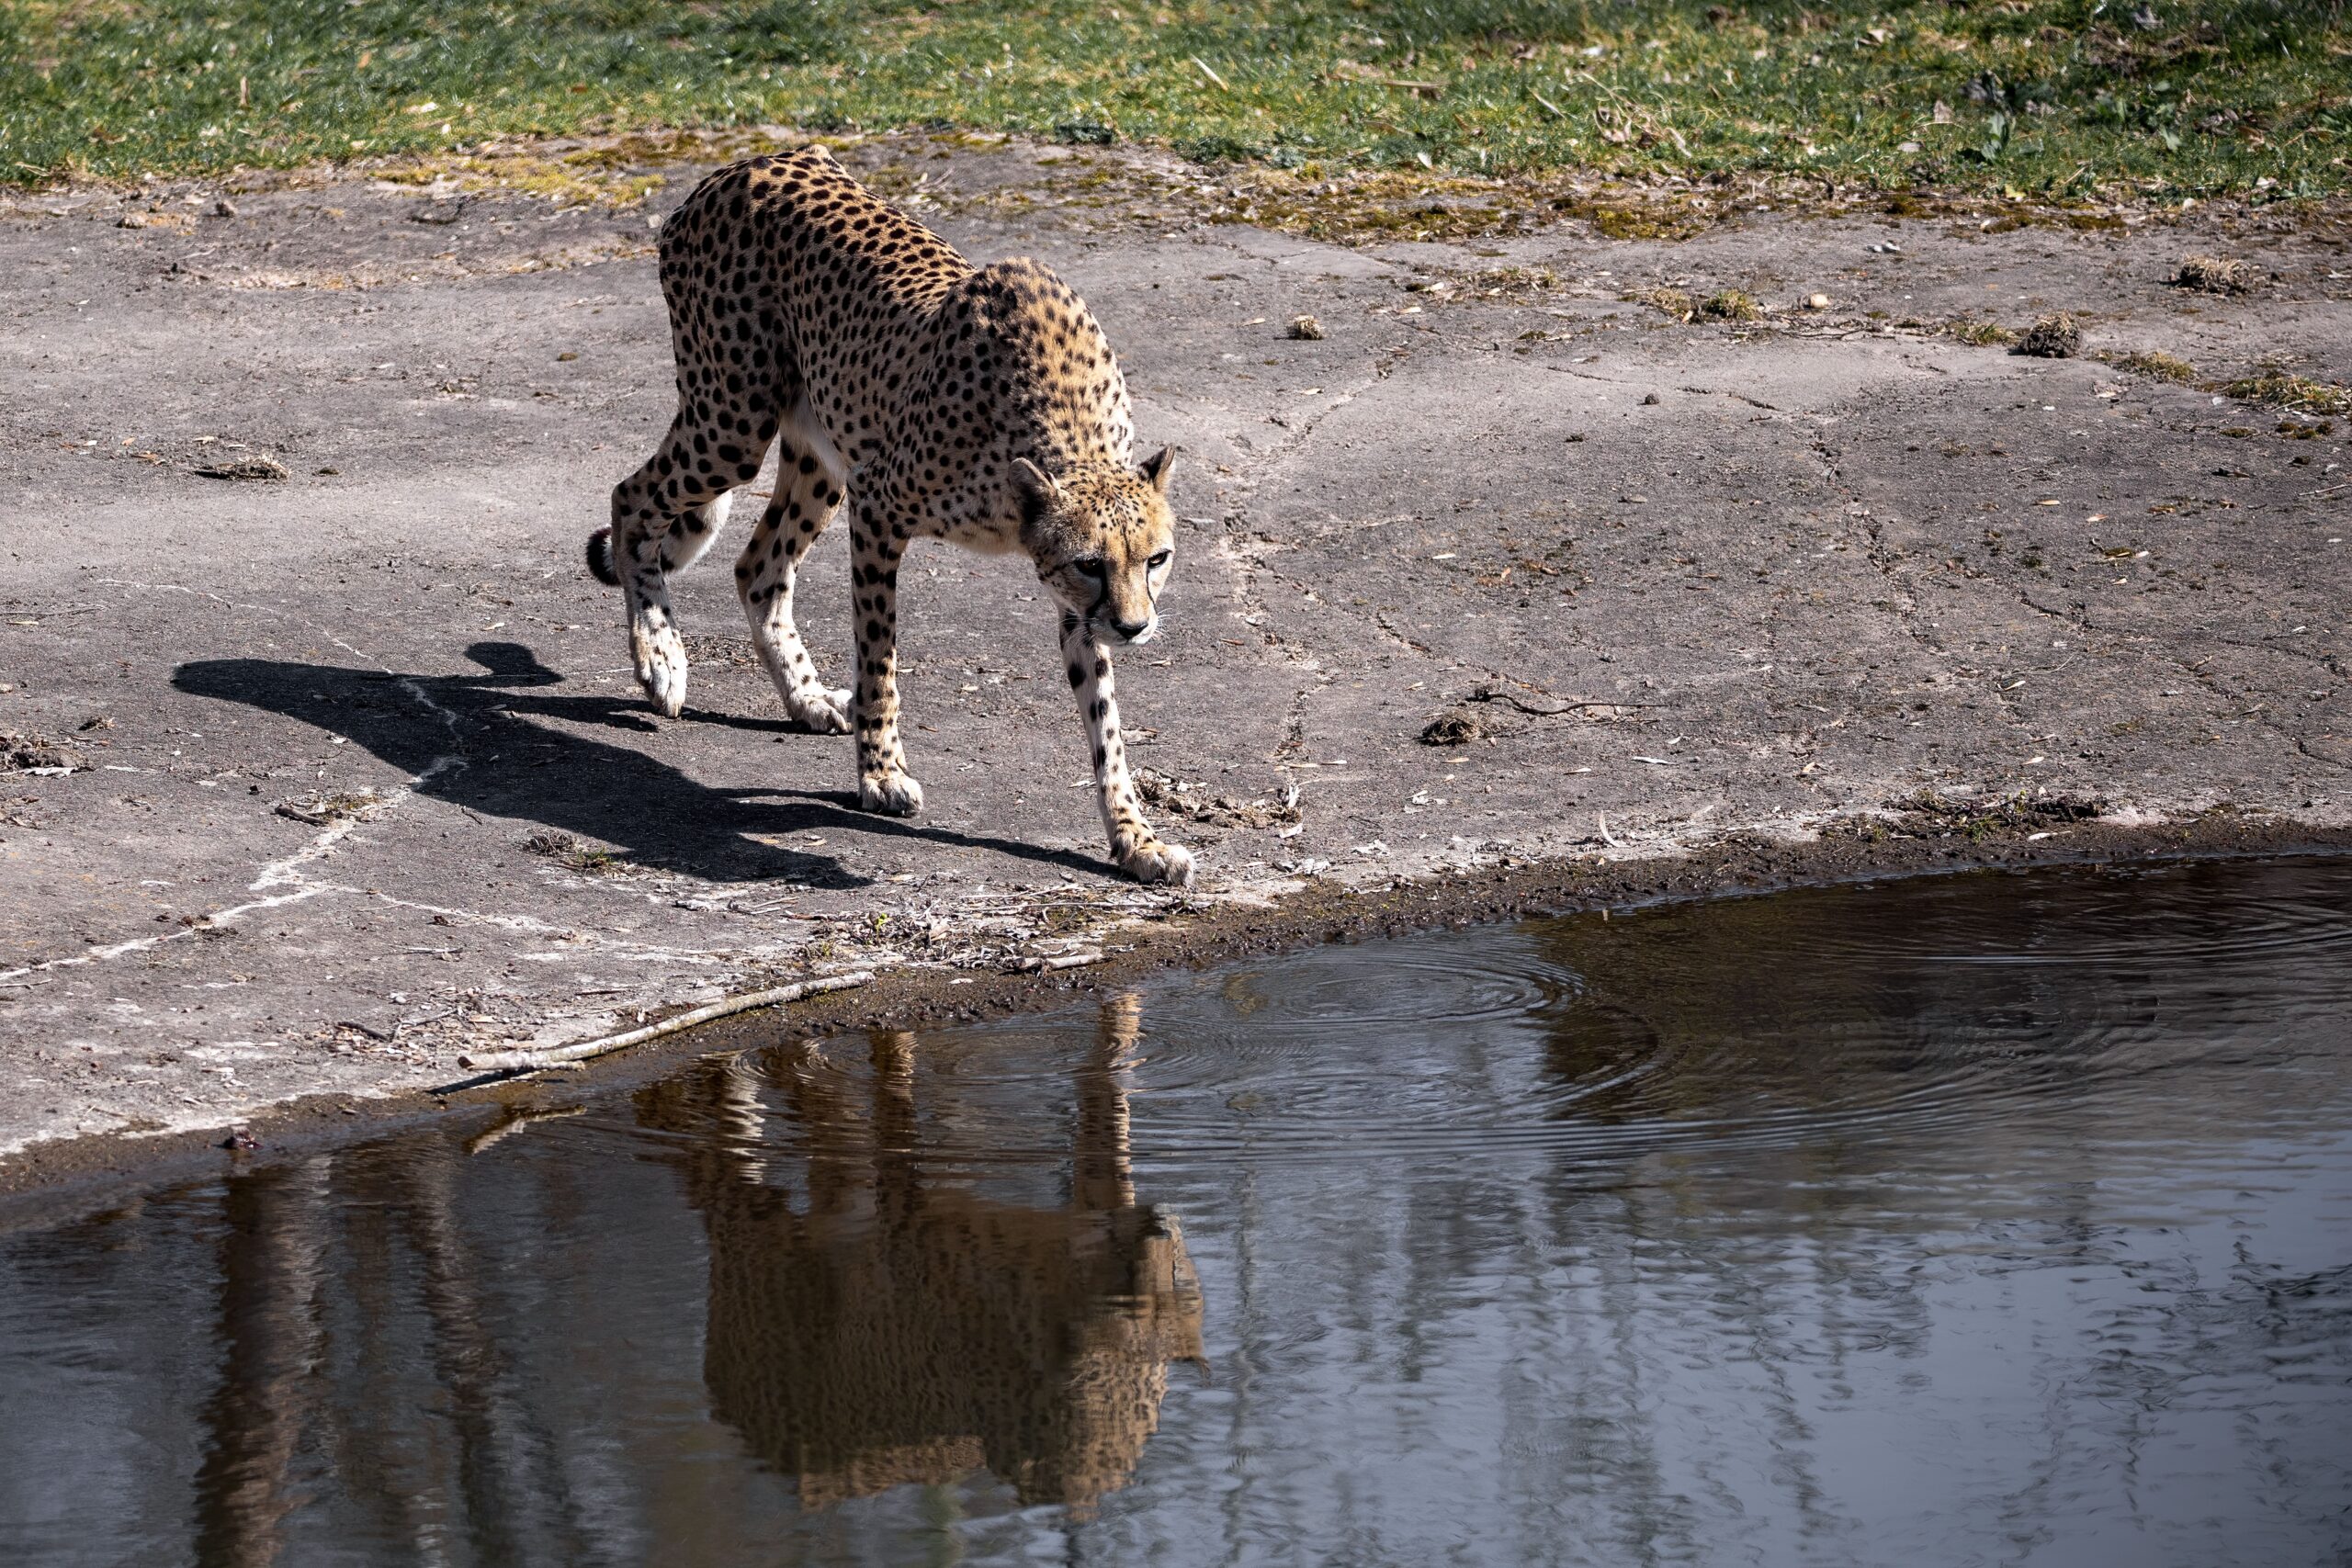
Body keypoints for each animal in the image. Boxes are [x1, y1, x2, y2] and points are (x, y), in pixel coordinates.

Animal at [586, 146, 1194, 885]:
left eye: (1156, 559)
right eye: (1090, 564)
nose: (1135, 627)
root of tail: (746, 164)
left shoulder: (1071, 602)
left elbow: (1104, 720)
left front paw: (1136, 838)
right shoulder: (879, 506)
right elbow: (880, 657)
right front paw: (881, 775)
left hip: (819, 452)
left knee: (758, 566)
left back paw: (807, 697)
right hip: (733, 422)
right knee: (631, 497)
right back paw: (661, 655)